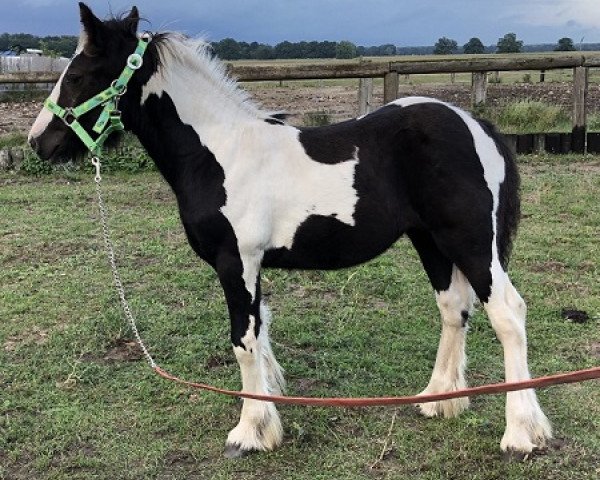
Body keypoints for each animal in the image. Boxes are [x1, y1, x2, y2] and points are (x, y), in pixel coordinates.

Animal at [29, 4, 552, 462]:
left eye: (77, 75)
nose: (38, 142)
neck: (218, 153)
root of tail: (475, 125)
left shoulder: (235, 262)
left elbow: (243, 342)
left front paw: (248, 433)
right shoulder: (251, 265)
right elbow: (260, 335)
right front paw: (265, 420)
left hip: (470, 242)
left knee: (508, 313)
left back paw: (521, 434)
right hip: (431, 241)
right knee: (454, 309)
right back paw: (439, 400)